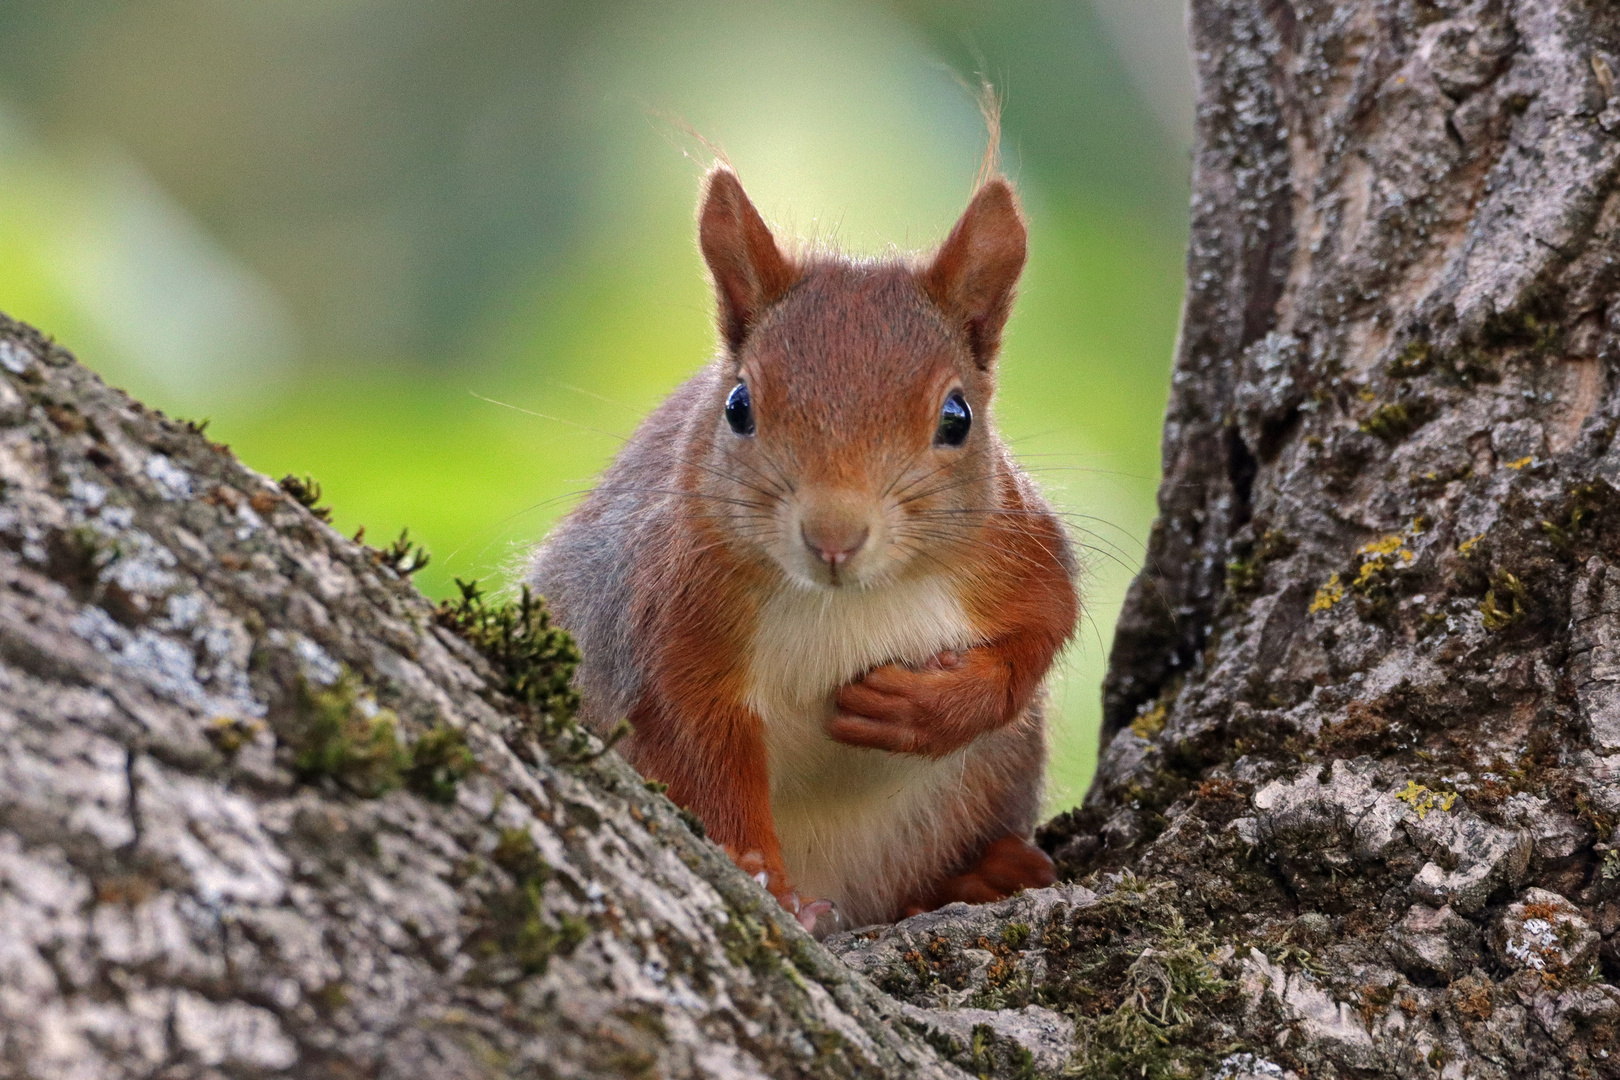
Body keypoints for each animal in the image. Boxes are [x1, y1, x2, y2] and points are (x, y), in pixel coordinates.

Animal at [531, 165, 1082, 932]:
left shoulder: (1018, 547)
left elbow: (1041, 632)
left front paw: (921, 708)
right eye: (738, 406)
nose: (833, 536)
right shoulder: (670, 608)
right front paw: (767, 881)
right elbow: (700, 746)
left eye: (957, 417)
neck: (849, 601)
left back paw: (983, 874)